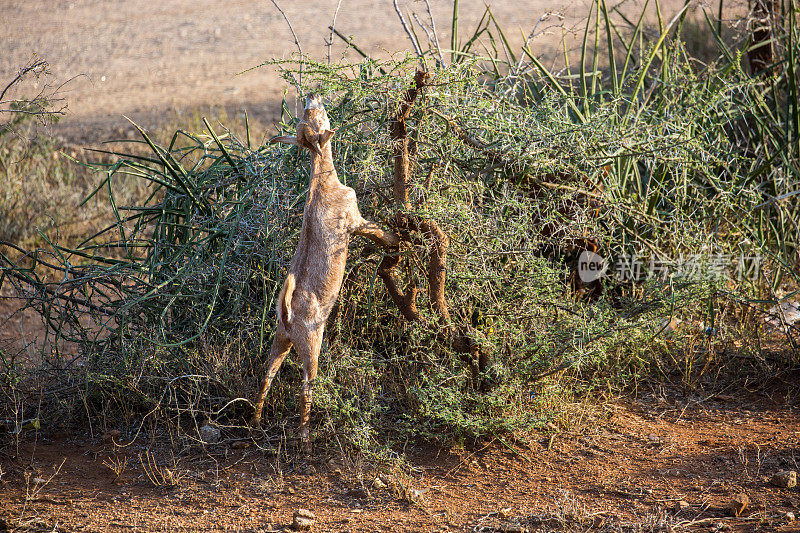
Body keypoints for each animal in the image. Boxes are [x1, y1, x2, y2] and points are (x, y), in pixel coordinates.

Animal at [252, 93, 398, 446]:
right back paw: (305, 436)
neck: (323, 180)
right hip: (311, 344)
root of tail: (287, 314)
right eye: (316, 115)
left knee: (266, 376)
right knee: (305, 386)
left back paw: (256, 421)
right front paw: (400, 240)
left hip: (280, 340)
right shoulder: (355, 221)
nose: (313, 96)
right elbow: (379, 232)